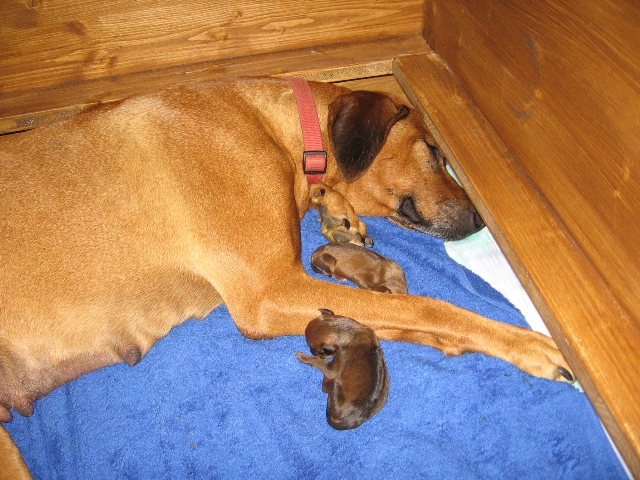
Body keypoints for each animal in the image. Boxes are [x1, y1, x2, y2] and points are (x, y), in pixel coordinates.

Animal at [0, 76, 573, 478]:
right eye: (433, 151)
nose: (480, 219)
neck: (272, 125)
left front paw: (338, 214)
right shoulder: (270, 291)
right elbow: (429, 308)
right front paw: (528, 344)